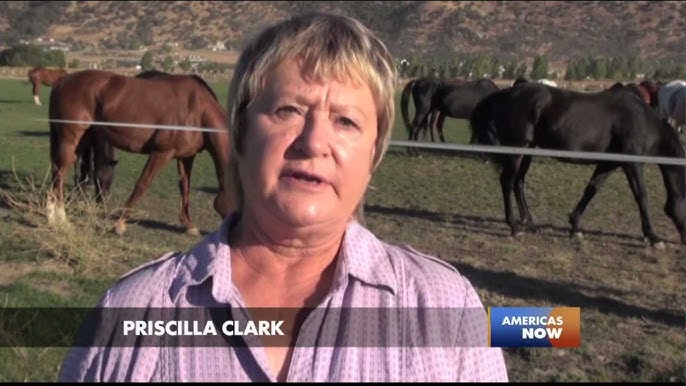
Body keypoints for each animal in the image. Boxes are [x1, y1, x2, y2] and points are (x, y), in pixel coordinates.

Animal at [47, 71, 236, 237]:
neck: (197, 109)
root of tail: (62, 81)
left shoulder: (186, 157)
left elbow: (185, 188)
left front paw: (189, 226)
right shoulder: (162, 153)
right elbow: (142, 184)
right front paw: (120, 224)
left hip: (81, 141)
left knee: (57, 170)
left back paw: (51, 215)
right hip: (71, 139)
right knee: (60, 172)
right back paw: (60, 217)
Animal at [470, 83, 686, 249]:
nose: (684, 241)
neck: (642, 120)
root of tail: (503, 94)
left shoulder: (609, 164)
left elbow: (591, 190)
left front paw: (575, 227)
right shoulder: (632, 164)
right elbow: (641, 196)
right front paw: (654, 237)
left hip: (528, 150)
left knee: (519, 182)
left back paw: (530, 223)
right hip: (518, 148)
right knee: (507, 181)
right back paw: (514, 227)